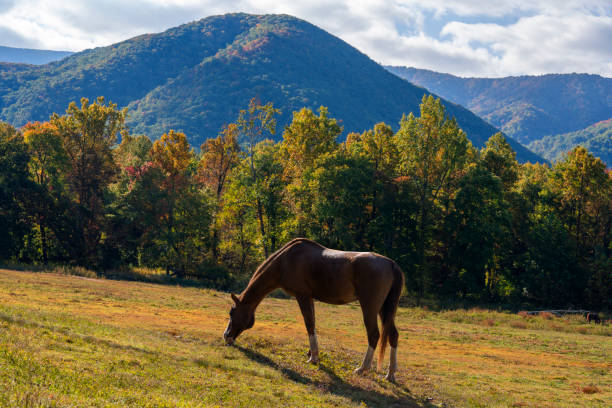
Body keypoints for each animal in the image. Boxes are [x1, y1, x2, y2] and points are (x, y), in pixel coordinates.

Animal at [222, 237, 404, 380]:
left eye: (232, 312)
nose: (226, 336)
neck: (286, 260)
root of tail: (391, 264)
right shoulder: (309, 298)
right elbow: (313, 323)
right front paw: (311, 353)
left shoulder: (302, 296)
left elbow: (309, 323)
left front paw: (314, 358)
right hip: (385, 309)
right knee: (393, 335)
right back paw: (390, 374)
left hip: (370, 307)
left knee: (373, 335)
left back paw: (362, 368)